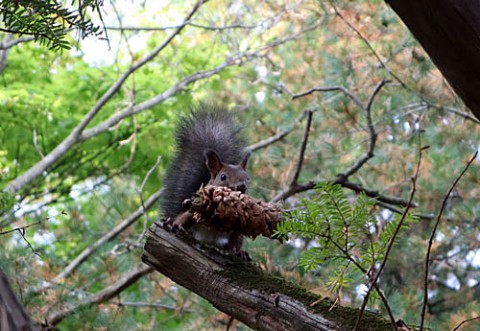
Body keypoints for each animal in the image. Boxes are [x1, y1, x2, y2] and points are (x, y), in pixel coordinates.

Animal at [161, 105, 251, 253]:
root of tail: (207, 239)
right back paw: (173, 223)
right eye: (223, 177)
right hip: (192, 214)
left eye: (248, 178)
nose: (242, 186)